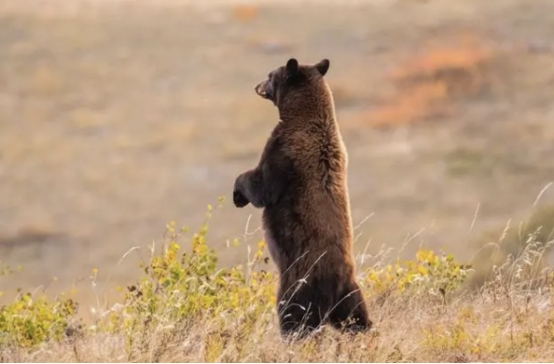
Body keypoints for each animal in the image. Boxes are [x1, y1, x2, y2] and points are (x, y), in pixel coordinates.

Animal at [233, 58, 370, 340]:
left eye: (270, 75)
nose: (257, 86)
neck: (301, 116)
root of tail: (336, 283)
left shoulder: (285, 152)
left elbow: (263, 186)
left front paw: (238, 192)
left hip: (298, 283)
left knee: (293, 314)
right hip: (351, 294)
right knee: (357, 316)